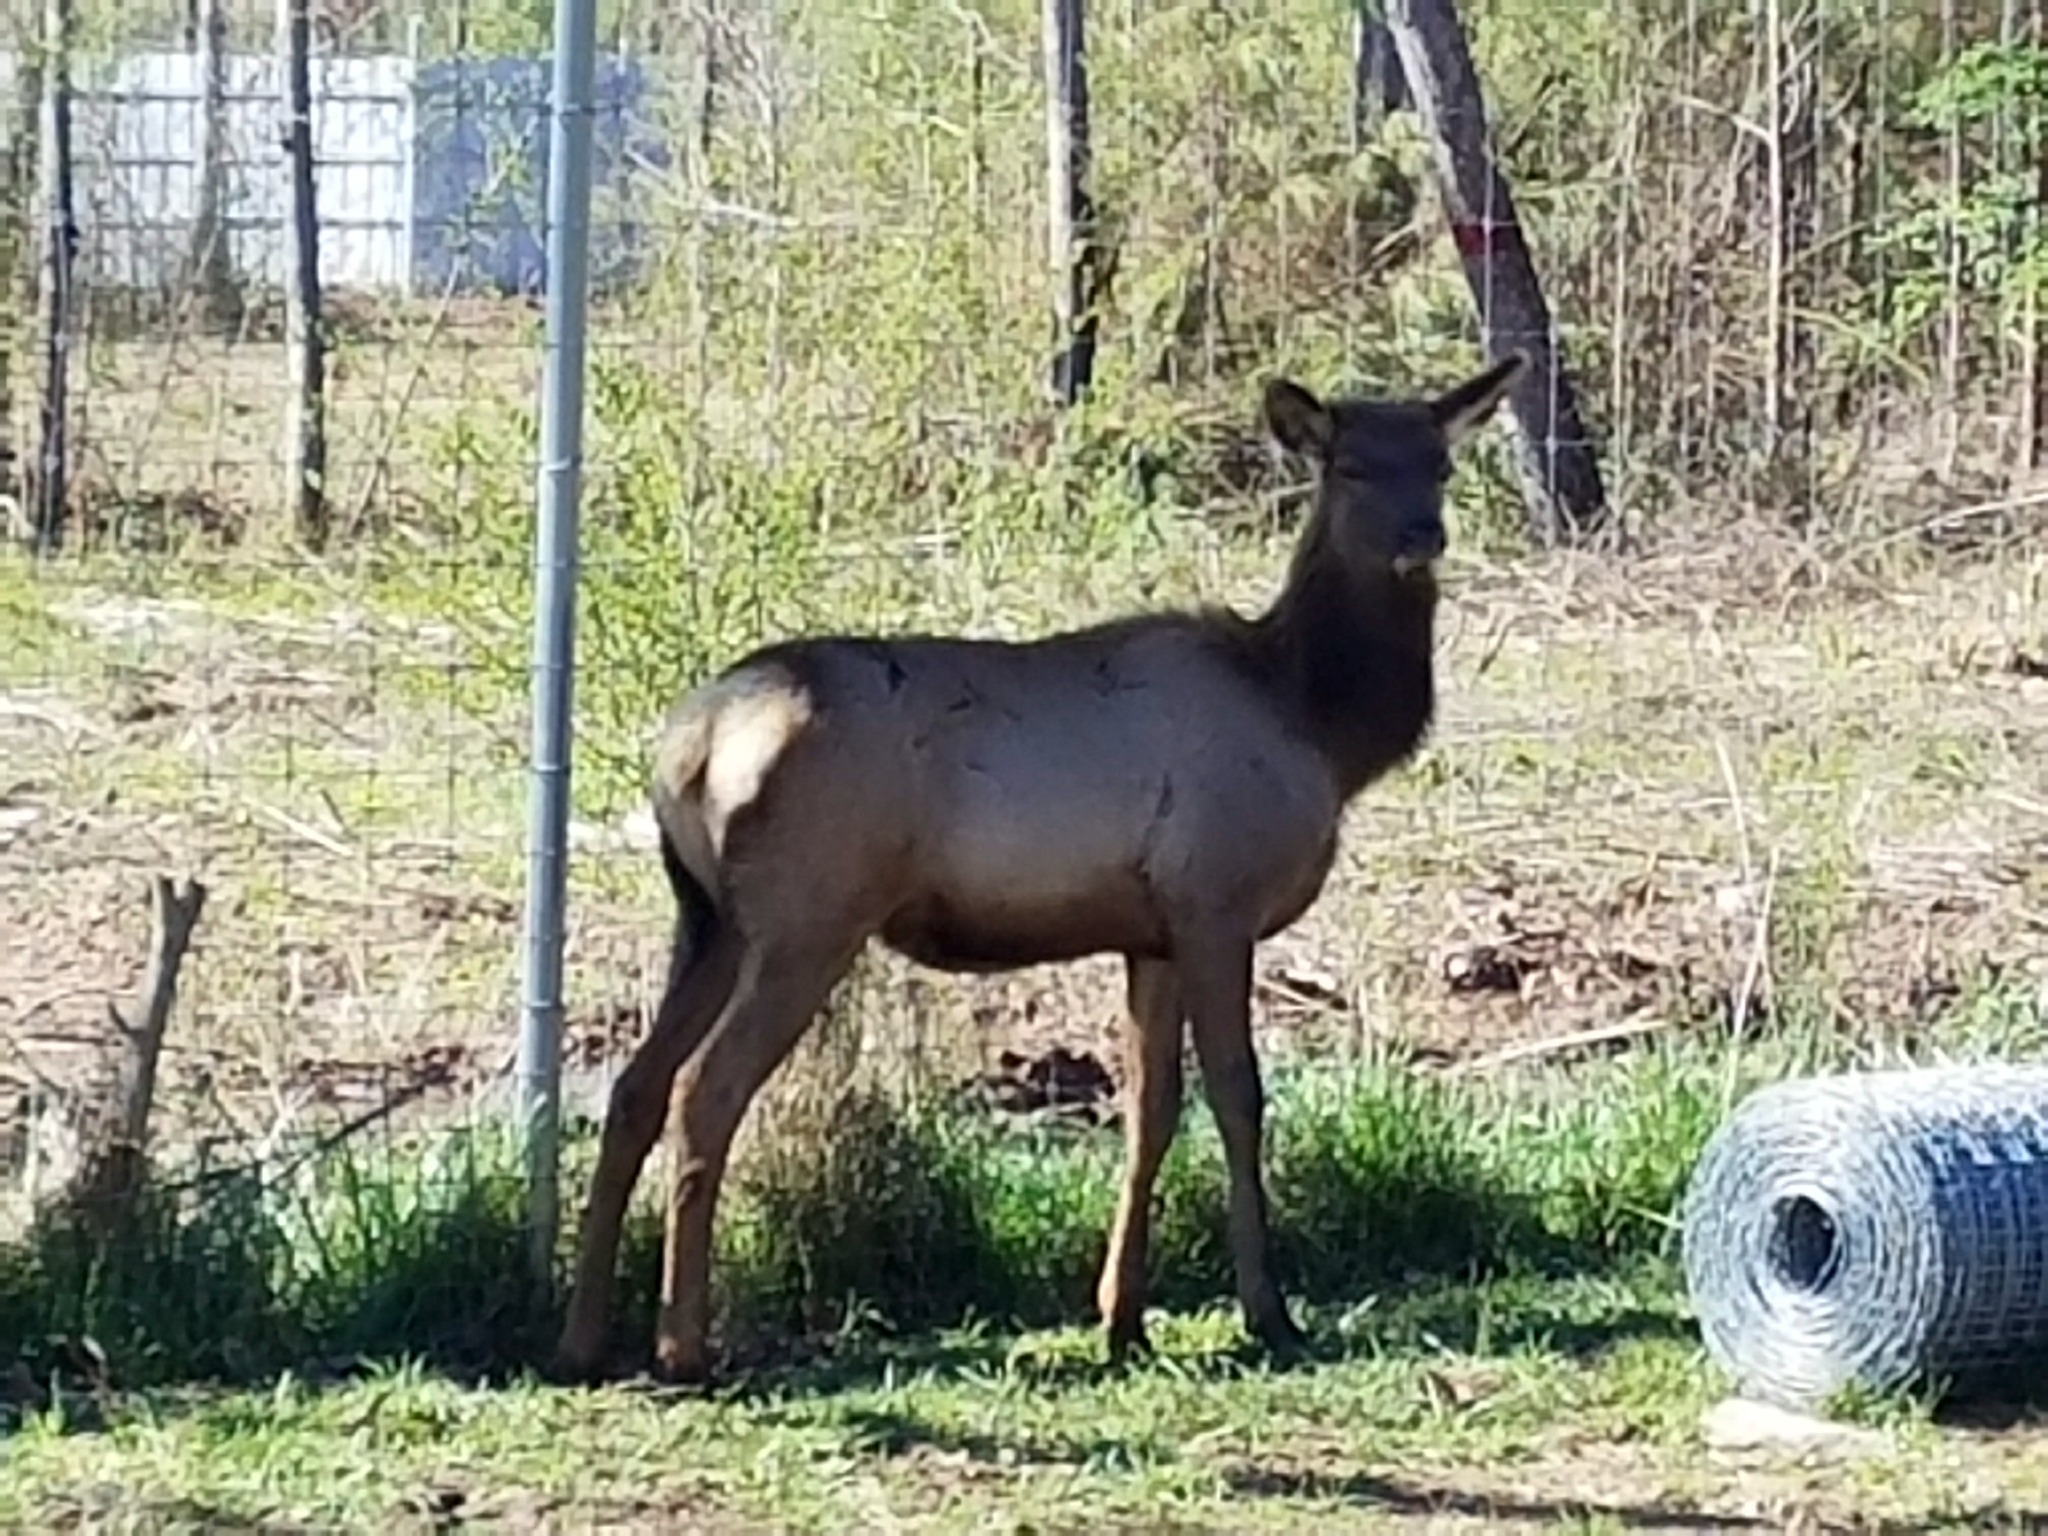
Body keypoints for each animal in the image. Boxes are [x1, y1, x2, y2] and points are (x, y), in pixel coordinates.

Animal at [551, 349, 1530, 1384]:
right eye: (1350, 467)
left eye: (1439, 463)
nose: (1425, 534)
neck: (1320, 724)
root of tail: (686, 752)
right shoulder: (1215, 899)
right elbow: (1239, 1096)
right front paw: (1268, 1312)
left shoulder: (1152, 933)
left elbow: (1151, 1111)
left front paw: (1122, 1318)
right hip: (808, 915)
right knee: (705, 1089)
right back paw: (682, 1346)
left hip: (707, 917)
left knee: (634, 1087)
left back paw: (581, 1338)